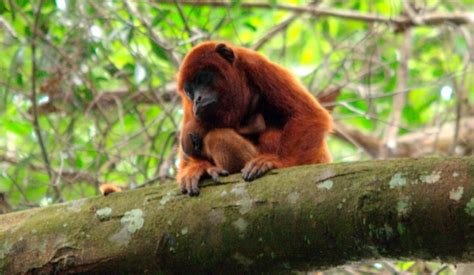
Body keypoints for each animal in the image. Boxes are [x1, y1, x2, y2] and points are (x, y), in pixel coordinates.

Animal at [176, 41, 332, 196]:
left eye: (202, 78)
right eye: (189, 91)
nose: (197, 99)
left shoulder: (259, 67)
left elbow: (308, 114)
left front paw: (279, 162)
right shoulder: (188, 105)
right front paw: (198, 169)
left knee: (218, 137)